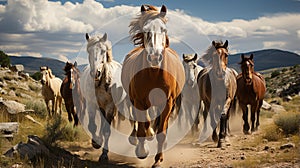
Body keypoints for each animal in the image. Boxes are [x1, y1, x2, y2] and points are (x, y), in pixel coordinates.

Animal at [79, 32, 129, 161]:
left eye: (103, 51)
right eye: (89, 51)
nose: (95, 73)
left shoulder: (110, 106)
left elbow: (106, 130)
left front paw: (104, 154)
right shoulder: (91, 104)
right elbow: (92, 126)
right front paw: (96, 142)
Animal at [120, 4, 184, 167]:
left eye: (164, 29)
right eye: (145, 30)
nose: (155, 56)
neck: (154, 73)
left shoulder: (167, 103)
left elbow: (161, 132)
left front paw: (158, 159)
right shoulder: (138, 100)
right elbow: (143, 126)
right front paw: (142, 151)